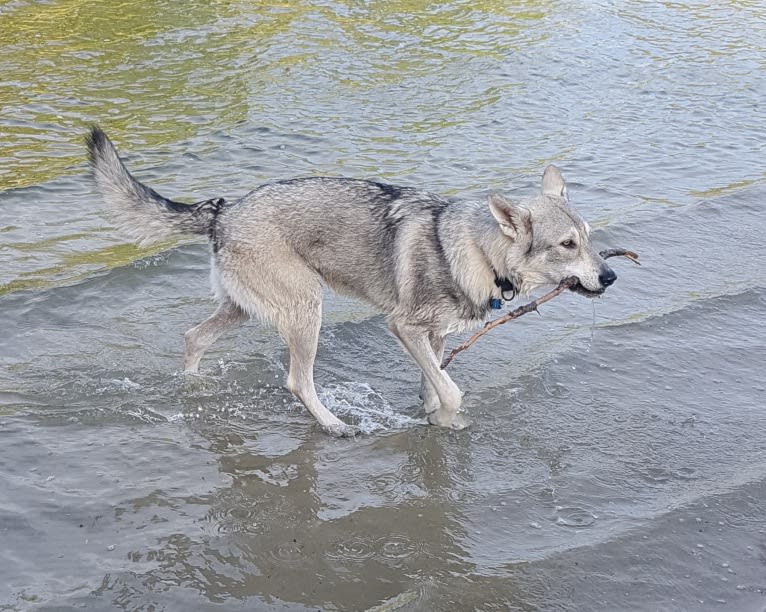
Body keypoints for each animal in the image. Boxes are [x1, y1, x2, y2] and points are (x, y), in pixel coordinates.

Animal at [85, 128, 616, 436]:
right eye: (567, 244)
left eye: (589, 238)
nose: (610, 276)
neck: (478, 252)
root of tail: (223, 209)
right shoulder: (403, 327)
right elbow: (451, 390)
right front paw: (449, 421)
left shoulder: (434, 336)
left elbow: (434, 383)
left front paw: (431, 415)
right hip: (306, 311)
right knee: (297, 381)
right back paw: (334, 425)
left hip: (243, 309)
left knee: (193, 338)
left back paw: (194, 390)